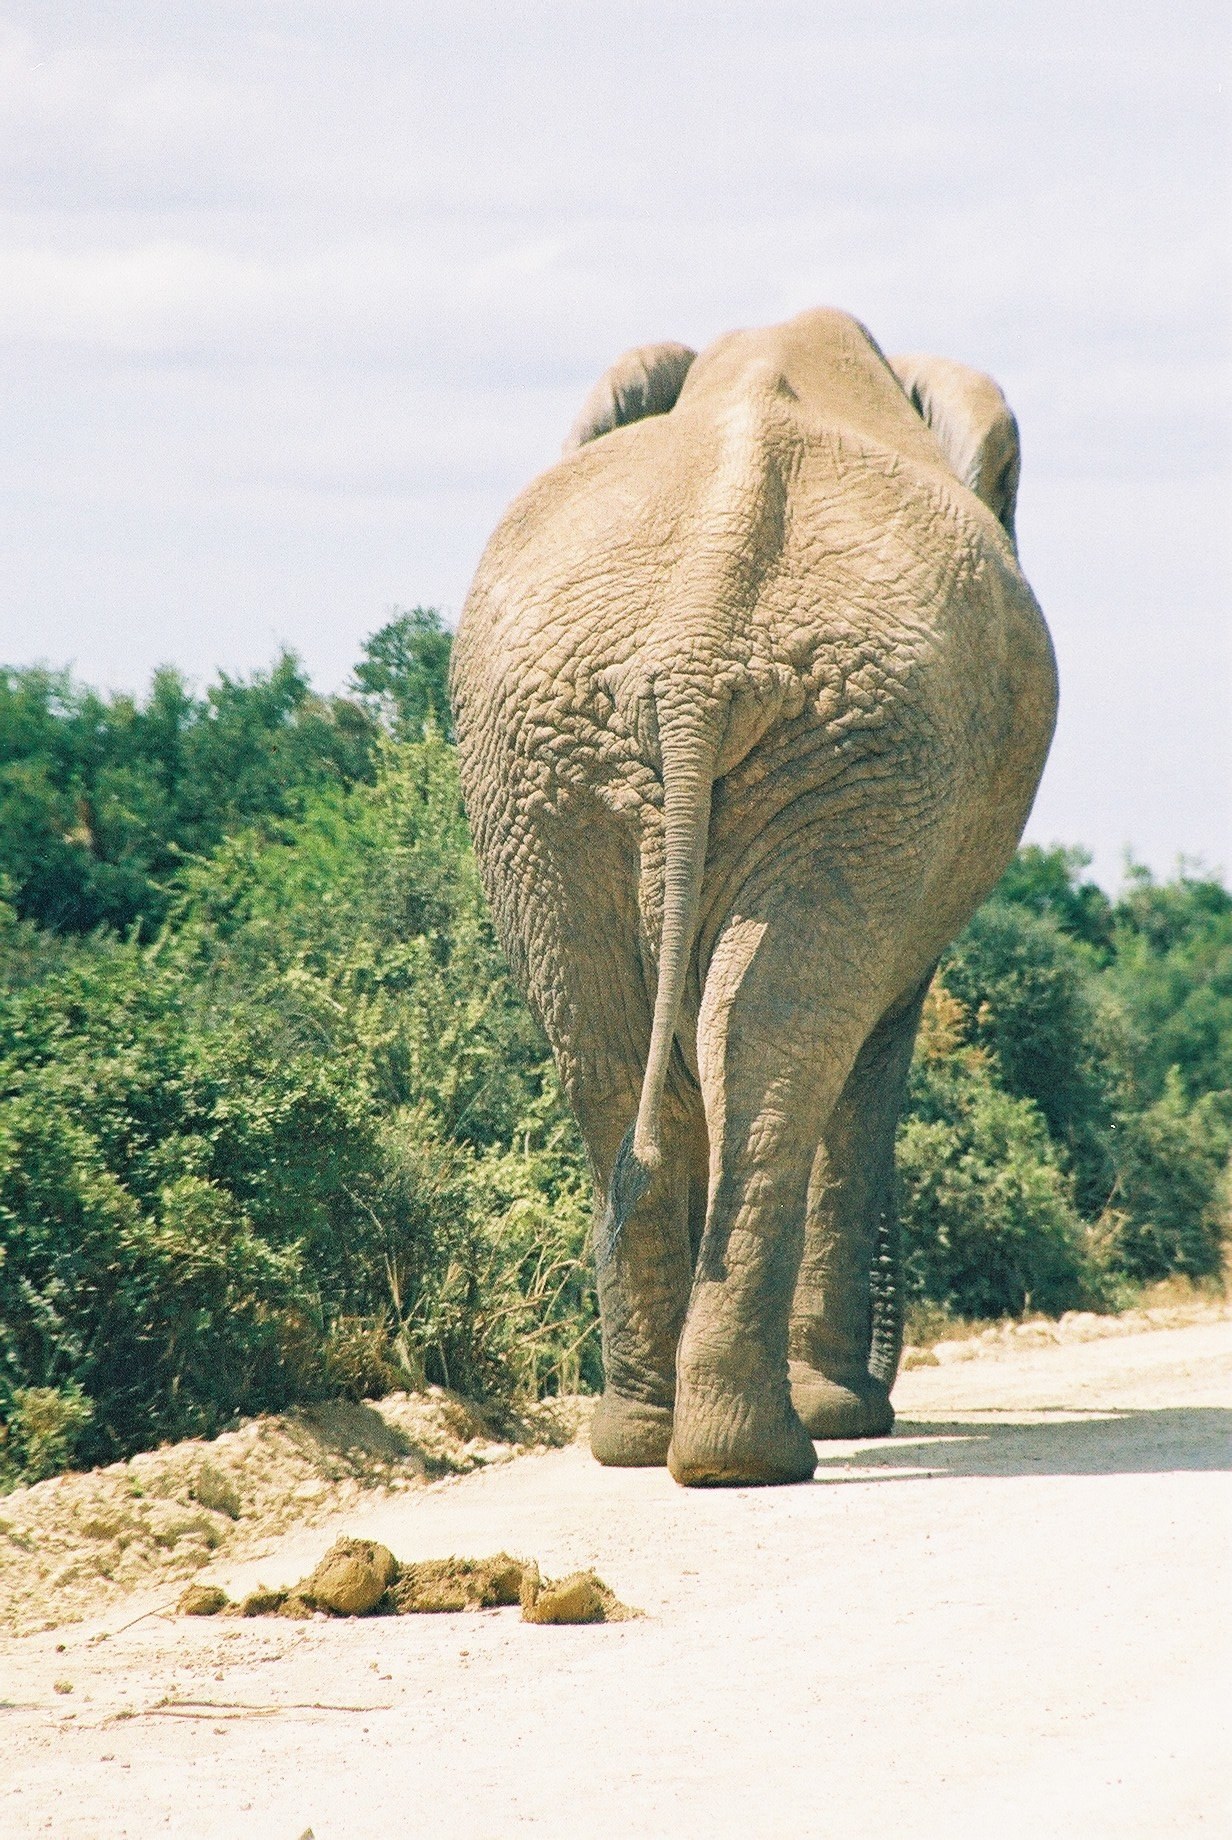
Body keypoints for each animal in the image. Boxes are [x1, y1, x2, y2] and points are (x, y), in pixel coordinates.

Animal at [451, 307, 1056, 1487]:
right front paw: (851, 1413)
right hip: (812, 751)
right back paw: (769, 1446)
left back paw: (662, 1443)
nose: (886, 1390)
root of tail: (696, 639)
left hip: (593, 761)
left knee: (635, 1043)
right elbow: (878, 1044)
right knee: (778, 1038)